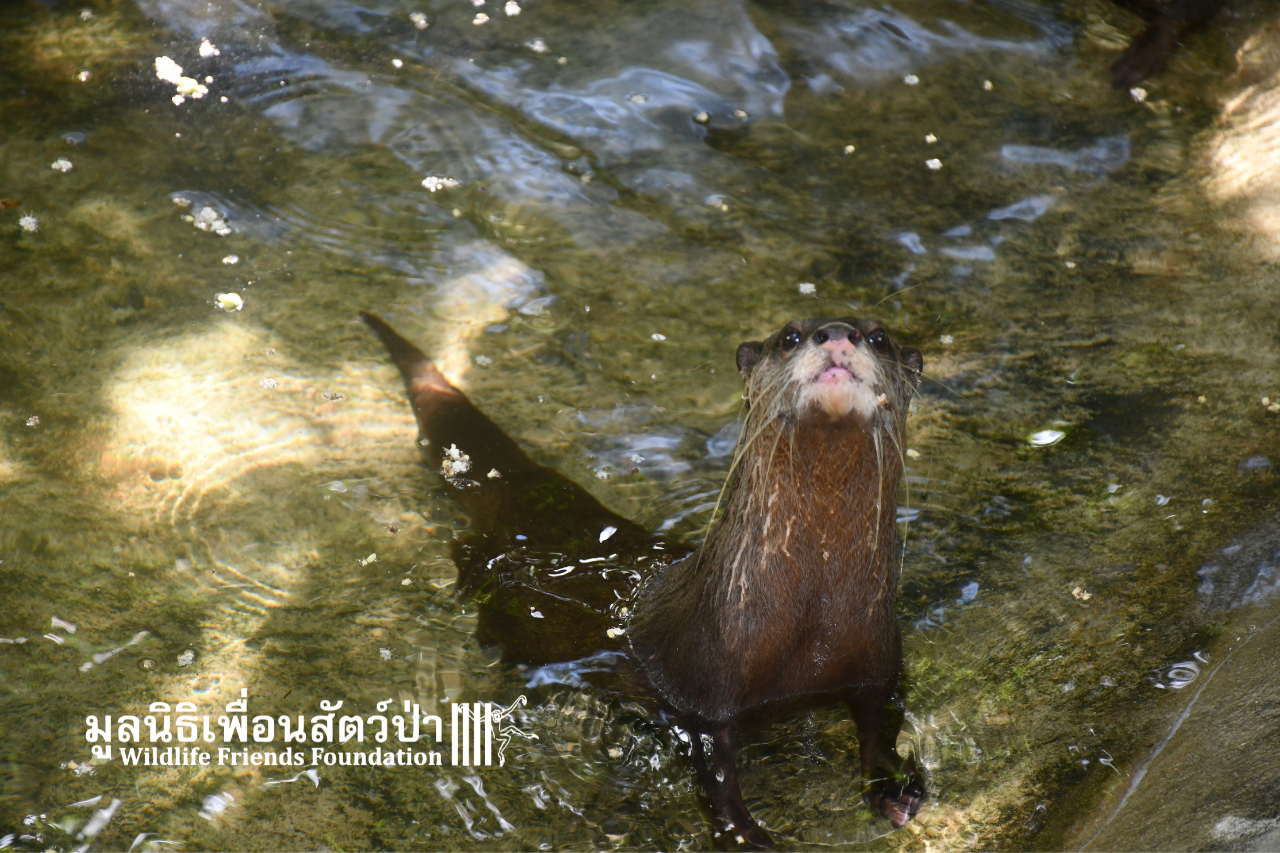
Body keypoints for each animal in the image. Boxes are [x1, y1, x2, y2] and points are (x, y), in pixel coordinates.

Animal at [360, 312, 924, 849]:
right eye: (790, 336)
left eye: (879, 337)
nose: (837, 333)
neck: (809, 624)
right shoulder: (702, 690)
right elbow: (712, 773)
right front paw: (744, 835)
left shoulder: (879, 660)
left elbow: (883, 721)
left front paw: (895, 787)